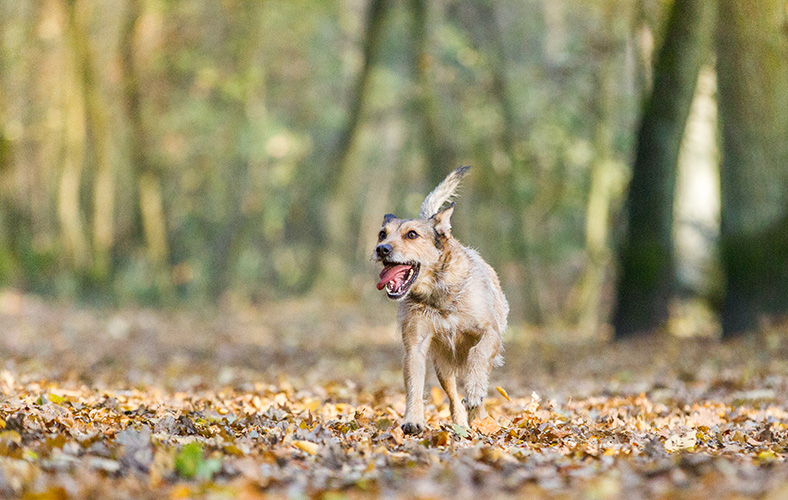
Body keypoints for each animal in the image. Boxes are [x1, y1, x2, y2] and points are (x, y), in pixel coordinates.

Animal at [372, 166, 508, 432]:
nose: (381, 249)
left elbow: (478, 354)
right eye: (382, 234)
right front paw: (413, 419)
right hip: (442, 366)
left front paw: (474, 391)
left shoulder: (490, 332)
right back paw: (463, 422)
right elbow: (414, 386)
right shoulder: (414, 346)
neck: (438, 294)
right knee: (453, 395)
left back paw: (479, 413)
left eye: (412, 234)